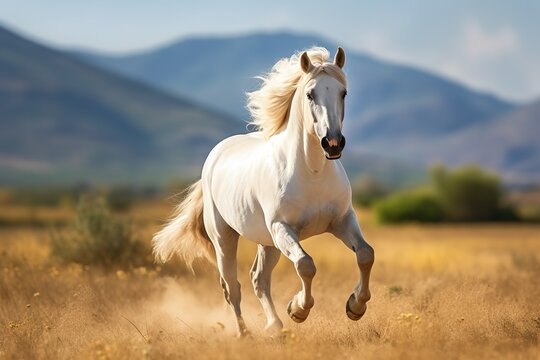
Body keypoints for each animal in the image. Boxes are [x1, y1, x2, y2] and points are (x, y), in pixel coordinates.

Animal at [151, 46, 372, 336]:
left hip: (267, 242)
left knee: (258, 279)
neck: (312, 172)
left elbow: (365, 255)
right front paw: (298, 310)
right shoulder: (283, 228)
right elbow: (306, 265)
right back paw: (245, 333)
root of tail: (216, 154)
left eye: (343, 92)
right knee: (232, 287)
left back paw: (275, 326)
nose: (332, 143)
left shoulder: (342, 220)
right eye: (310, 94)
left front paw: (355, 306)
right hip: (226, 238)